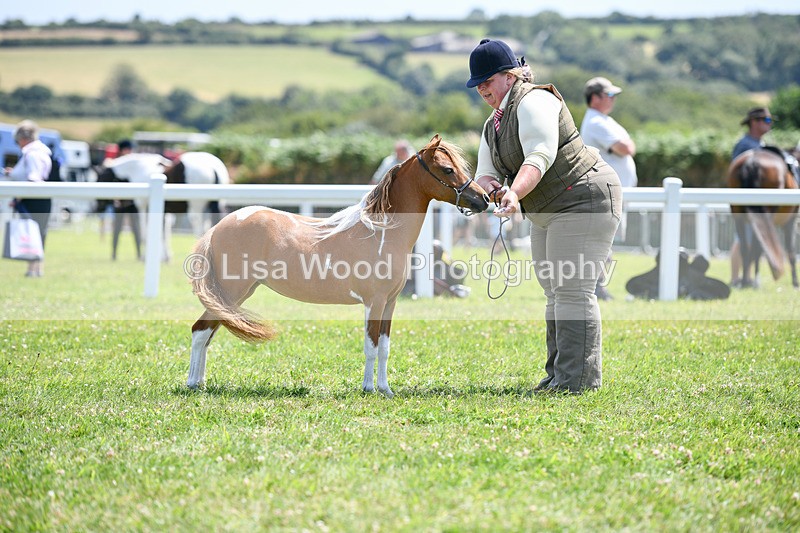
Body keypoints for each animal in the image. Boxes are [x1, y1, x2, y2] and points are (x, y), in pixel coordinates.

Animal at [185, 134, 489, 397]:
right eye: (448, 169)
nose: (483, 199)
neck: (381, 232)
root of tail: (220, 227)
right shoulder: (374, 302)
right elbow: (371, 346)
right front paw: (369, 389)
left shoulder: (390, 303)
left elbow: (385, 348)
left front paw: (386, 389)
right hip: (231, 292)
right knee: (200, 331)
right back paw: (192, 384)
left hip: (233, 296)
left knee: (208, 332)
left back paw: (200, 382)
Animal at [727, 148, 799, 288]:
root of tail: (752, 160)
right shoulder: (790, 222)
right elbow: (791, 251)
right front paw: (795, 283)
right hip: (767, 213)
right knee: (757, 247)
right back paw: (755, 281)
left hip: (737, 213)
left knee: (745, 247)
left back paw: (745, 281)